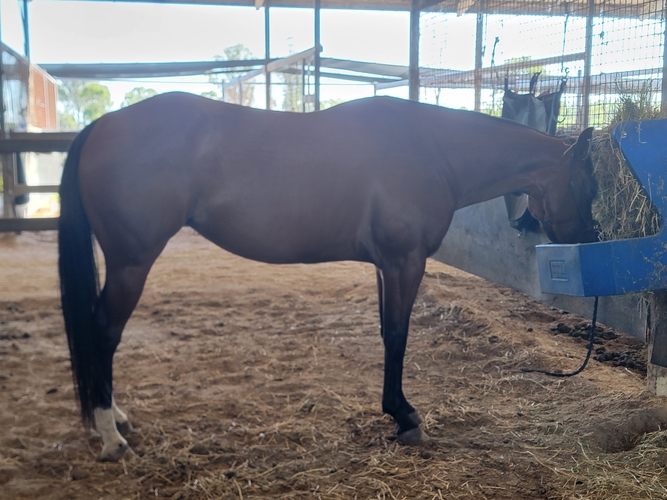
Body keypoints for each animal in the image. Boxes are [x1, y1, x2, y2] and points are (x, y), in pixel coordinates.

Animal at [58, 93, 597, 461]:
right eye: (589, 185)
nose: (589, 240)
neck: (431, 149)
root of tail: (102, 125)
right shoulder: (405, 261)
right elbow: (398, 336)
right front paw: (405, 417)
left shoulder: (385, 265)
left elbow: (386, 333)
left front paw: (397, 412)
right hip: (131, 263)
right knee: (103, 333)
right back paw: (110, 435)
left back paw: (117, 418)